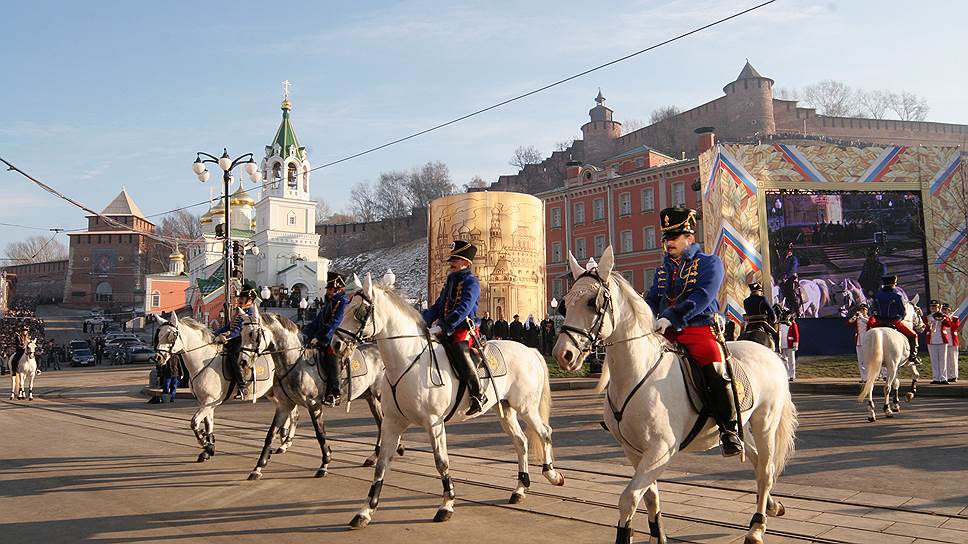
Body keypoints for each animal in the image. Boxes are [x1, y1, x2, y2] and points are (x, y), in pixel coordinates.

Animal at [153, 312, 276, 462]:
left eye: (170, 335)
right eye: (159, 335)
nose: (157, 358)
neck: (202, 361)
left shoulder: (209, 401)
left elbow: (194, 422)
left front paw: (205, 443)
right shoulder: (205, 402)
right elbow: (208, 425)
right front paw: (208, 448)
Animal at [239, 310, 404, 480]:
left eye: (253, 334)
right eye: (241, 333)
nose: (243, 361)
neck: (294, 362)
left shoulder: (314, 404)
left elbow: (320, 434)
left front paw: (325, 464)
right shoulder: (284, 404)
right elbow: (270, 434)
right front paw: (258, 467)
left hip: (379, 396)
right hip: (371, 398)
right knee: (380, 423)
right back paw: (375, 456)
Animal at [332, 274, 564, 528]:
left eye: (360, 311)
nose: (335, 344)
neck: (407, 361)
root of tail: (530, 350)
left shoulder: (434, 423)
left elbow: (441, 462)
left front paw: (446, 504)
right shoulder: (392, 423)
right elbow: (382, 465)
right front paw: (365, 511)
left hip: (526, 407)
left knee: (545, 433)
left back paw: (552, 475)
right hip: (505, 409)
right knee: (521, 442)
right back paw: (520, 489)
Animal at [552, 249, 796, 544]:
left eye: (592, 302)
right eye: (565, 304)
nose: (563, 354)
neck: (637, 372)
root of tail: (769, 353)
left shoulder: (661, 451)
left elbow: (628, 499)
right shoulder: (635, 451)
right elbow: (650, 497)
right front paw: (658, 535)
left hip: (765, 423)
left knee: (766, 470)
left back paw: (757, 526)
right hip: (740, 425)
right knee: (757, 462)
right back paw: (770, 504)